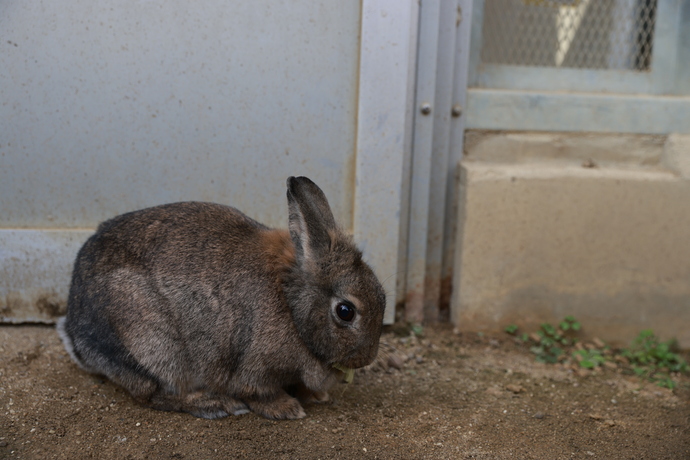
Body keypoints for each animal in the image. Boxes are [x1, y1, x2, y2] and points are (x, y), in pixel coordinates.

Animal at [56, 177, 384, 420]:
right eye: (345, 311)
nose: (367, 358)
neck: (291, 303)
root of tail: (77, 335)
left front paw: (316, 395)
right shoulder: (254, 368)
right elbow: (257, 393)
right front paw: (287, 409)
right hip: (151, 342)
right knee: (151, 394)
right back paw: (213, 404)